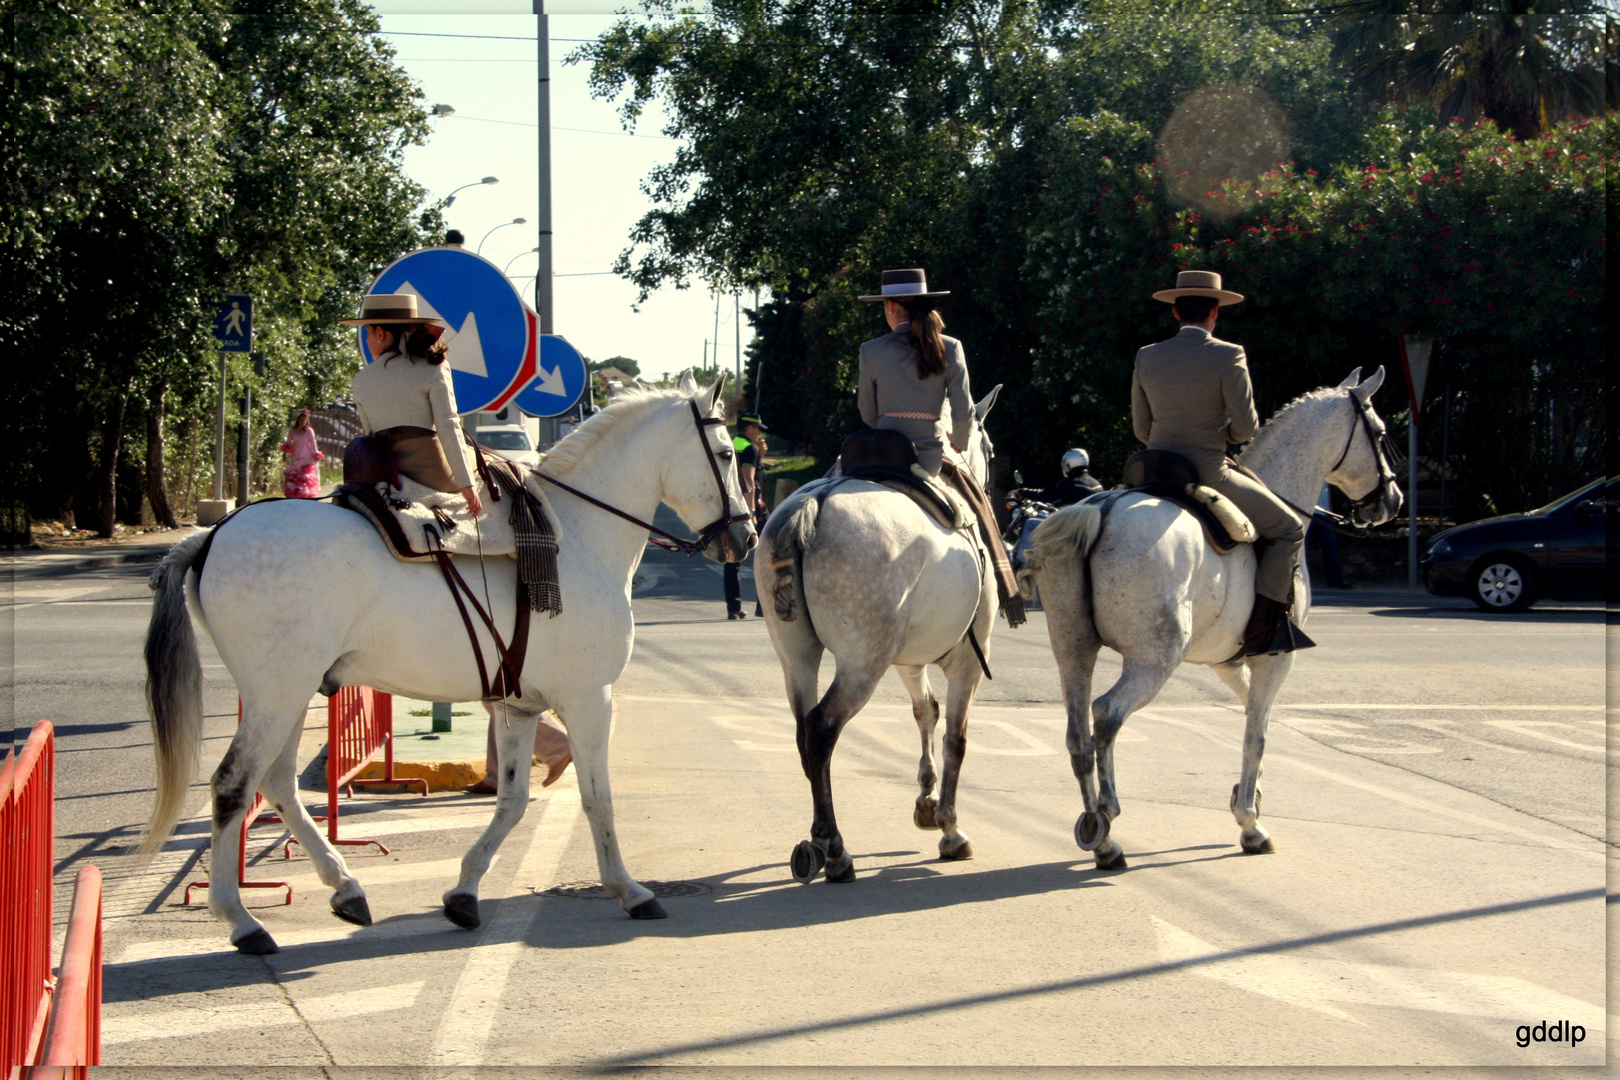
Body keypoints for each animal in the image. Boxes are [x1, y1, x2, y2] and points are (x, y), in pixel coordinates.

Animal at [142, 380, 748, 952]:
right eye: (725, 453)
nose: (743, 536)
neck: (577, 536)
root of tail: (212, 535)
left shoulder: (519, 707)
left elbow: (512, 801)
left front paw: (463, 893)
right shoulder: (589, 700)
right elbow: (597, 799)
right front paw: (629, 890)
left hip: (289, 694)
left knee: (277, 783)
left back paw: (345, 889)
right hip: (277, 694)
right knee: (233, 784)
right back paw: (242, 921)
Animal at [754, 388, 997, 887]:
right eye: (992, 449)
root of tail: (813, 503)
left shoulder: (907, 661)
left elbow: (926, 712)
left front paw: (926, 802)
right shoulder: (967, 664)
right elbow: (956, 739)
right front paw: (950, 827)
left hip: (798, 658)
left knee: (804, 732)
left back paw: (818, 840)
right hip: (863, 664)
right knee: (822, 729)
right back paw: (835, 847)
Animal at [1017, 372, 1399, 867]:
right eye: (1382, 433)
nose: (1392, 500)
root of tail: (1100, 510)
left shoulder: (1228, 661)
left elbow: (1256, 715)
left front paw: (1251, 795)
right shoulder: (1276, 658)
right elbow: (1256, 733)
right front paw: (1250, 822)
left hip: (1072, 651)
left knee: (1078, 734)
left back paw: (1099, 835)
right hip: (1153, 661)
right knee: (1106, 715)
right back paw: (1106, 819)